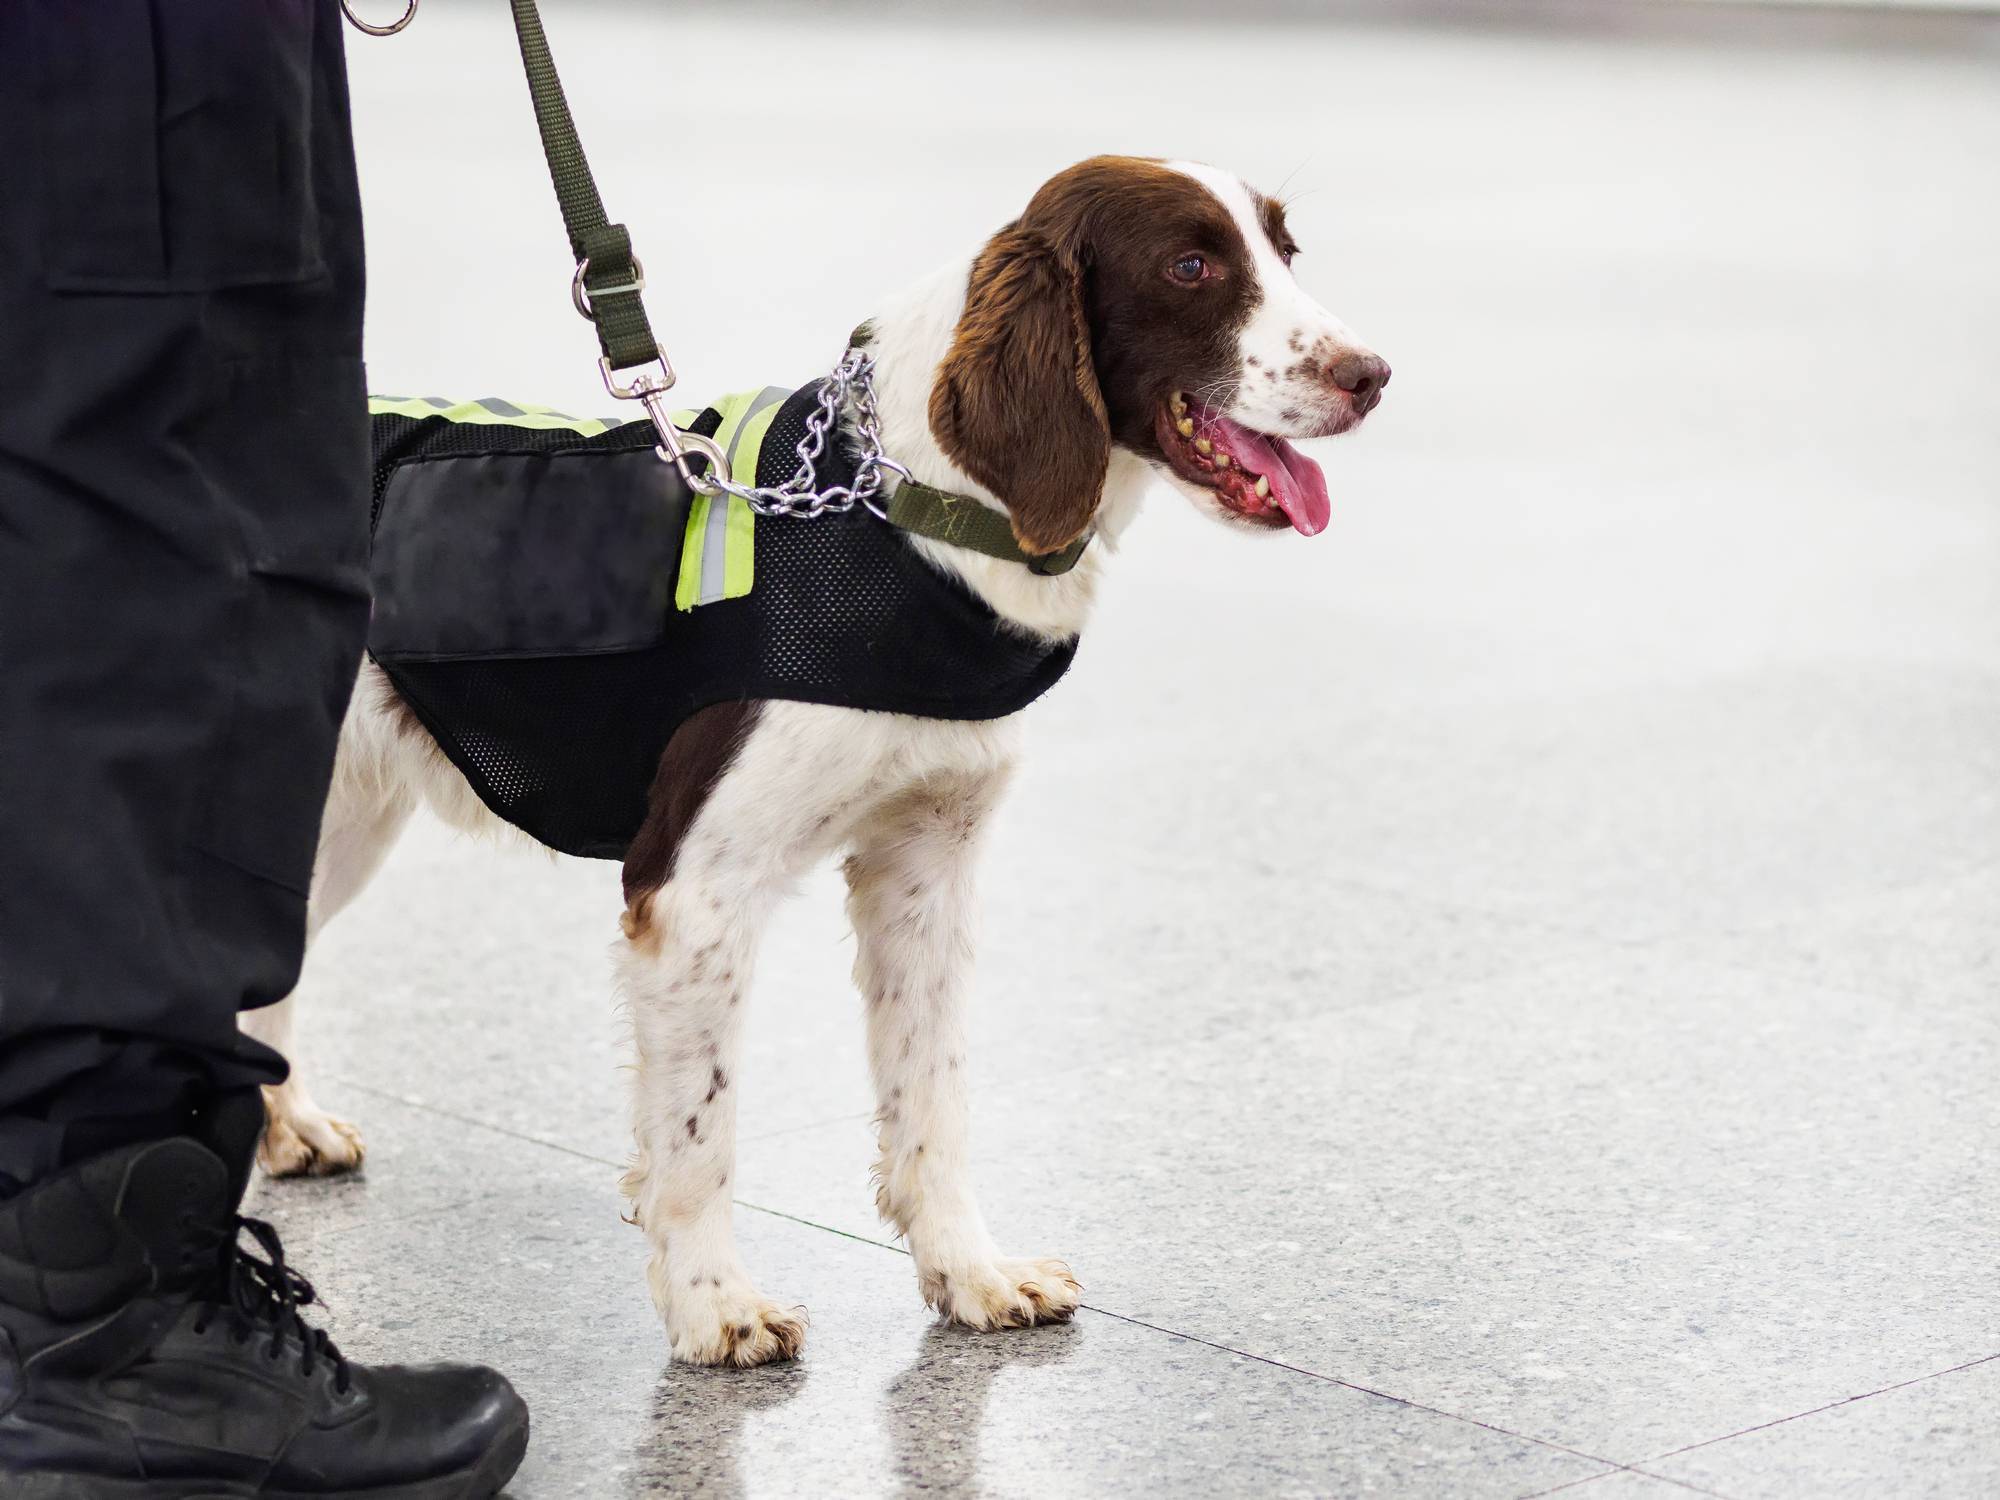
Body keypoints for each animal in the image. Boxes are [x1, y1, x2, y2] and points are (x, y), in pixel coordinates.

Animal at [254, 159, 1392, 1368]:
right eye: (1189, 266)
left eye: (1285, 252)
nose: (1372, 375)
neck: (903, 516)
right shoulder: (695, 894)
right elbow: (699, 1137)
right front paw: (714, 1305)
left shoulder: (925, 868)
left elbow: (933, 1100)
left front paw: (970, 1274)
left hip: (336, 822)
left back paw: (285, 1128)